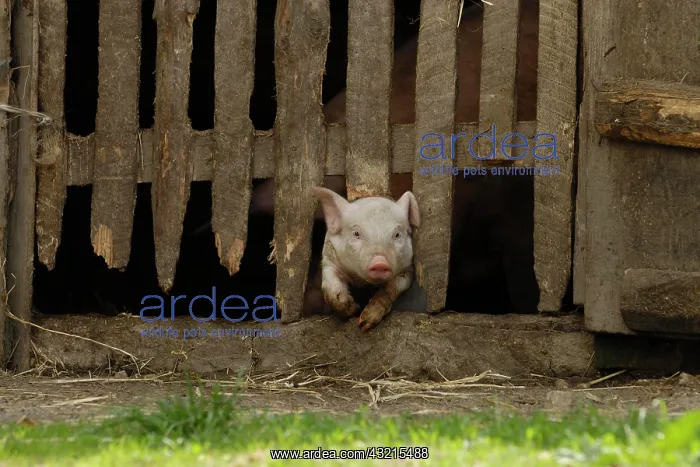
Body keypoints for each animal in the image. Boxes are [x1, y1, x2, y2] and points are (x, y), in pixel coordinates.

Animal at [310, 186, 420, 331]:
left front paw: (364, 323)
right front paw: (352, 309)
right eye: (356, 233)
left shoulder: (408, 269)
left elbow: (391, 288)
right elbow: (331, 287)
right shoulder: (329, 257)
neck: (362, 282)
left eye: (397, 234)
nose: (380, 262)